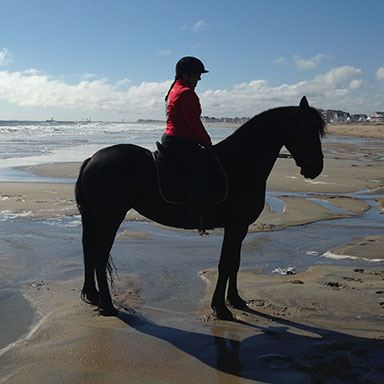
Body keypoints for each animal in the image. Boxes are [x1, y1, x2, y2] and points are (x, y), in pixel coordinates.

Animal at [74, 97, 324, 320]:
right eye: (308, 128)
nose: (317, 168)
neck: (241, 163)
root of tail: (91, 159)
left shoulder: (240, 227)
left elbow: (235, 262)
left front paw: (235, 299)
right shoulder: (235, 226)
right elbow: (225, 264)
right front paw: (221, 308)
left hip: (92, 218)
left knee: (87, 250)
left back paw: (92, 295)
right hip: (110, 219)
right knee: (99, 255)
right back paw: (107, 306)